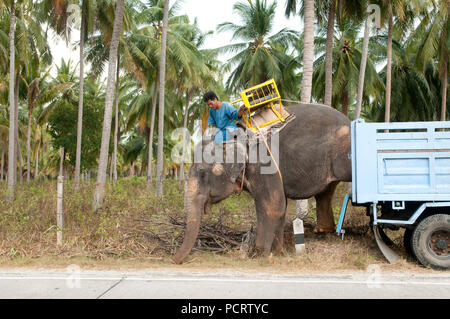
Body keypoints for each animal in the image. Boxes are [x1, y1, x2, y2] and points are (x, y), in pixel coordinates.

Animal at [172, 104, 352, 264]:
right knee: (325, 194)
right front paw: (278, 253)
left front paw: (258, 255)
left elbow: (272, 206)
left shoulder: (264, 165)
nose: (174, 260)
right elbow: (281, 207)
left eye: (203, 173)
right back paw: (323, 230)